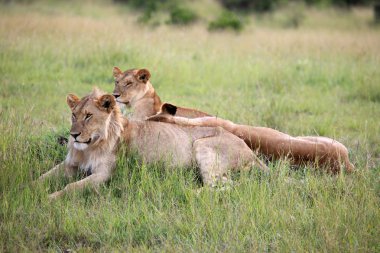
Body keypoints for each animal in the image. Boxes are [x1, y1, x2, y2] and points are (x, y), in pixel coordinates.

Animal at [39, 89, 268, 200]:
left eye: (88, 116)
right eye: (73, 115)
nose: (74, 135)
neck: (89, 147)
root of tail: (250, 152)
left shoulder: (104, 174)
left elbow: (72, 187)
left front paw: (50, 198)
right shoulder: (70, 165)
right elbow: (43, 177)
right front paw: (31, 190)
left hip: (203, 146)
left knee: (226, 186)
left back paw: (187, 192)